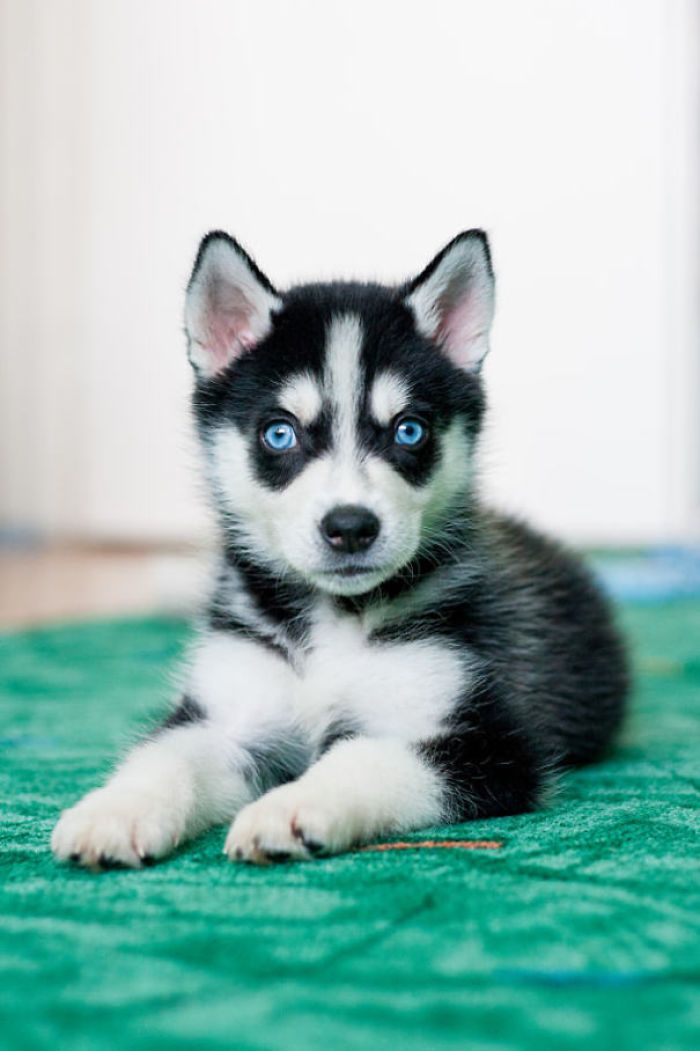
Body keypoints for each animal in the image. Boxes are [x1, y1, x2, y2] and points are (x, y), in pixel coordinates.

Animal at [50, 232, 626, 870]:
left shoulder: (491, 745)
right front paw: (116, 810)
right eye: (280, 433)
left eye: (409, 430)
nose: (350, 527)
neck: (330, 623)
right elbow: (166, 754)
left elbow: (364, 756)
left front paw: (291, 807)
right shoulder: (228, 717)